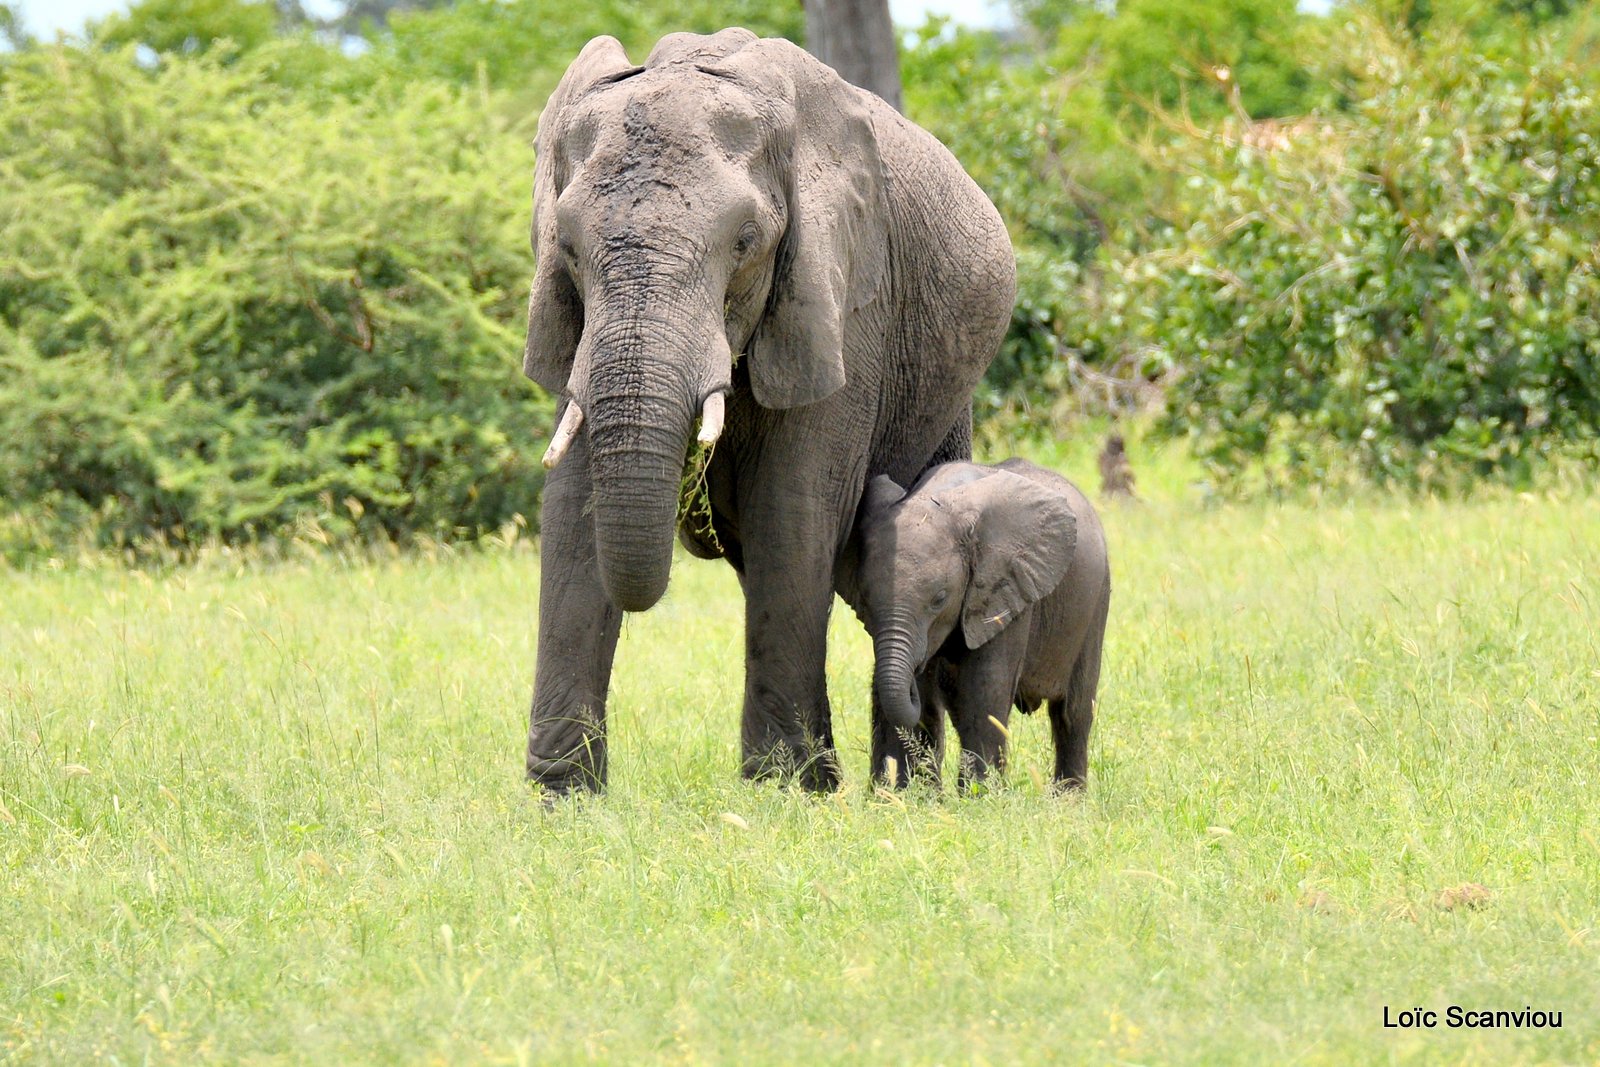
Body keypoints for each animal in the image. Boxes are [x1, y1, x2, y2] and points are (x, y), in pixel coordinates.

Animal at [521, 27, 1011, 793]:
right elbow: (573, 506)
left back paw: (903, 788)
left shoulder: (842, 298)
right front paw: (563, 798)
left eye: (745, 242)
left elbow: (792, 505)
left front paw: (785, 788)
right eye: (566, 247)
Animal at [857, 460, 1107, 793]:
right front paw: (923, 797)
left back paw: (1069, 798)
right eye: (865, 598)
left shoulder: (1006, 587)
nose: (916, 668)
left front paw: (980, 796)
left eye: (939, 599)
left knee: (1073, 712)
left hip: (1095, 605)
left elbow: (986, 689)